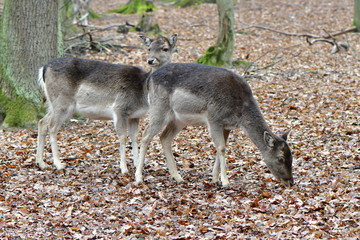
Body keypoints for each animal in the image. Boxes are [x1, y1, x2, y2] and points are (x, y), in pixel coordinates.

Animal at [35, 33, 179, 173]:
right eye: (149, 48)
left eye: (165, 48)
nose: (150, 60)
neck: (143, 90)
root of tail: (44, 68)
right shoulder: (120, 108)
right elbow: (123, 136)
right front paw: (124, 168)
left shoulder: (134, 115)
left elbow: (134, 137)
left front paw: (137, 164)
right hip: (62, 102)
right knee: (52, 127)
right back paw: (58, 164)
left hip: (53, 103)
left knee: (42, 122)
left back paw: (41, 163)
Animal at [136, 63, 294, 188]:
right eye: (280, 158)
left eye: (291, 156)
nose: (291, 182)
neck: (240, 111)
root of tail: (149, 79)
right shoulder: (214, 119)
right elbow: (221, 148)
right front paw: (225, 181)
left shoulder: (227, 126)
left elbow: (221, 147)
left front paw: (215, 178)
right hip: (159, 108)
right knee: (145, 135)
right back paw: (139, 177)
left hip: (178, 120)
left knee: (164, 137)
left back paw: (177, 176)